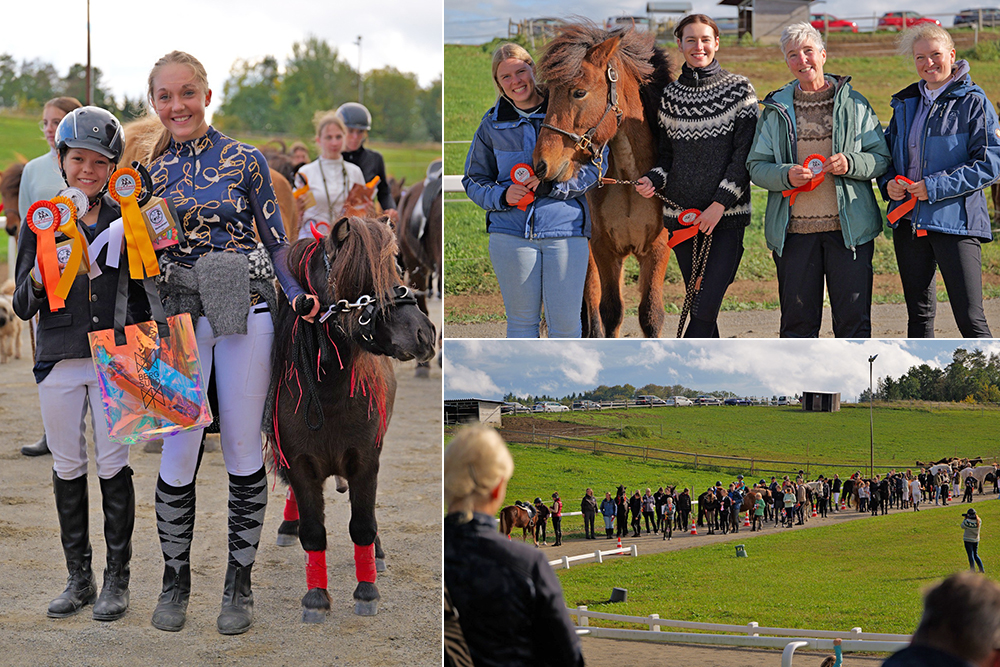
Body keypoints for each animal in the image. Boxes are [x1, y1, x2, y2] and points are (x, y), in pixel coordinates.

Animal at [268, 217, 436, 624]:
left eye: (397, 266)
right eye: (357, 279)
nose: (424, 333)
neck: (327, 394)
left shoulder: (366, 461)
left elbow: (363, 525)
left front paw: (367, 590)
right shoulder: (298, 464)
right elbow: (314, 531)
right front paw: (315, 597)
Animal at [536, 24, 676, 340]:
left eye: (579, 92)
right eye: (548, 95)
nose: (541, 164)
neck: (631, 181)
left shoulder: (657, 249)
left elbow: (651, 315)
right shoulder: (604, 249)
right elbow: (609, 311)